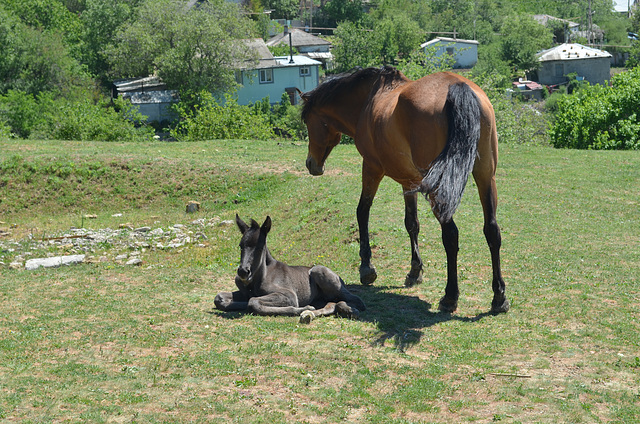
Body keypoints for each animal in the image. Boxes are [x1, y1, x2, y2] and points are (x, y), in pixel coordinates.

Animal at [215, 217, 364, 322]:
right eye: (241, 246)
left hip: (320, 272)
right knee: (331, 304)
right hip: (322, 297)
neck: (259, 278)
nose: (243, 272)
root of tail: (340, 278)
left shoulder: (289, 295)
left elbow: (253, 302)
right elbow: (220, 298)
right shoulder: (244, 292)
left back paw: (348, 310)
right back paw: (309, 314)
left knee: (356, 300)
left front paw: (301, 308)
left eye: (260, 247)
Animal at [302, 66, 510, 314]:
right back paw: (499, 297)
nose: (310, 164)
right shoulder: (408, 181)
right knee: (492, 230)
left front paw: (367, 268)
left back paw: (450, 296)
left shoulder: (371, 167)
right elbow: (412, 223)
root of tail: (457, 87)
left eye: (307, 122)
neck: (369, 100)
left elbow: (362, 212)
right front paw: (415, 270)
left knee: (451, 235)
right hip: (485, 176)